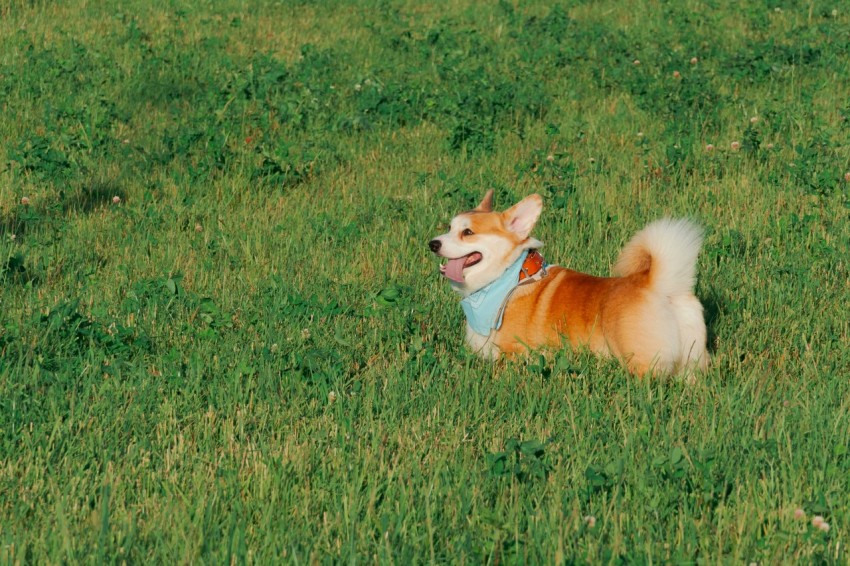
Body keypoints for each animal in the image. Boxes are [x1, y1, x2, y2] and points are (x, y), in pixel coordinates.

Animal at [428, 192, 704, 378]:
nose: (433, 243)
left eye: (468, 233)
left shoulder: (512, 353)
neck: (507, 278)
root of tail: (657, 284)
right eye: (450, 228)